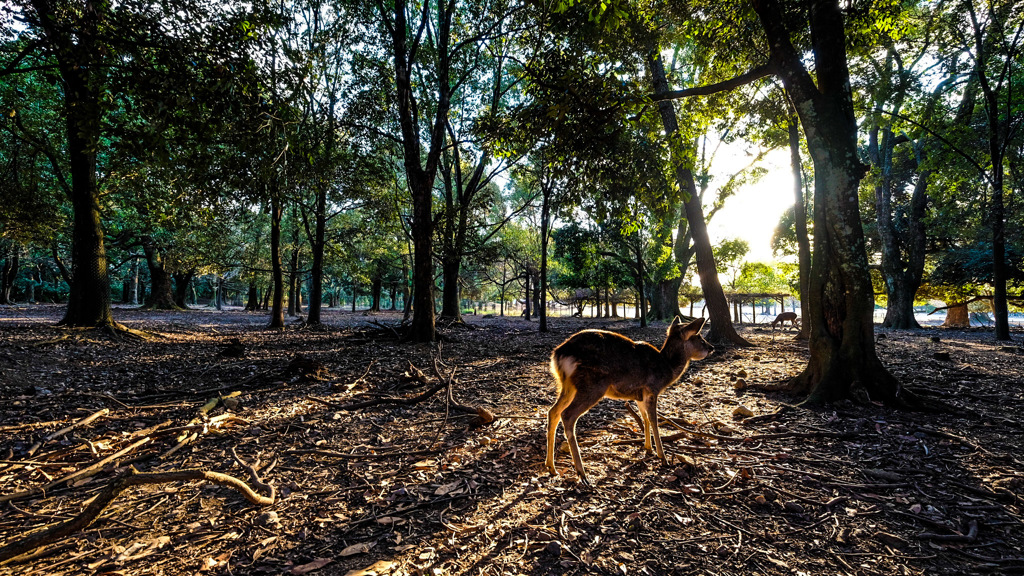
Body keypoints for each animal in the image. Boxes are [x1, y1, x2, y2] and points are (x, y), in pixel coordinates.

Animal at [544, 315, 712, 481]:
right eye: (699, 338)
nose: (711, 348)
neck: (667, 369)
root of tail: (558, 354)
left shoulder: (639, 396)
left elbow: (644, 418)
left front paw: (648, 448)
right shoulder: (652, 389)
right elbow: (654, 420)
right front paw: (663, 457)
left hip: (567, 386)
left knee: (553, 412)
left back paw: (551, 467)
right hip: (592, 385)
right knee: (567, 414)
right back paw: (582, 473)